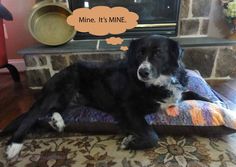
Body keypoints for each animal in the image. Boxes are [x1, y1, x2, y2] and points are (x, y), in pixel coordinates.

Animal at [1, 34, 211, 159]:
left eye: (158, 53)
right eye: (139, 54)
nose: (142, 72)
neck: (160, 82)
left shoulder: (178, 92)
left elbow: (194, 93)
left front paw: (216, 103)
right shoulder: (128, 107)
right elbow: (152, 135)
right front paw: (130, 142)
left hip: (67, 98)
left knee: (52, 111)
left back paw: (57, 121)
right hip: (60, 89)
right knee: (31, 116)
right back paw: (14, 146)